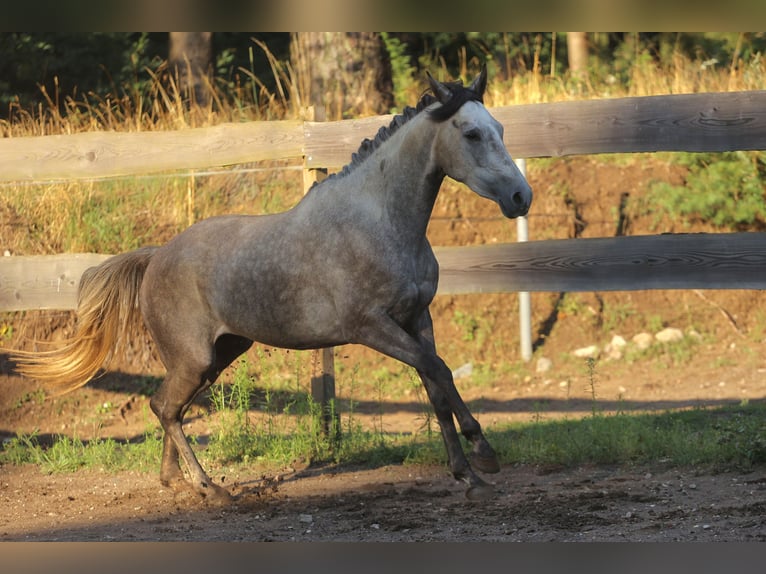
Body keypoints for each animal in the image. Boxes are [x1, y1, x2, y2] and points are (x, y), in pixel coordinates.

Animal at [16, 68, 536, 504]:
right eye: (471, 133)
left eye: (501, 128)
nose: (520, 196)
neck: (379, 221)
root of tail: (155, 256)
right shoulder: (371, 327)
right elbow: (440, 371)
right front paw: (484, 452)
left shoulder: (416, 318)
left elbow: (435, 386)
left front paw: (468, 475)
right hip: (196, 358)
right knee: (164, 407)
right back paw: (211, 489)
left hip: (219, 355)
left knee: (169, 408)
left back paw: (178, 482)